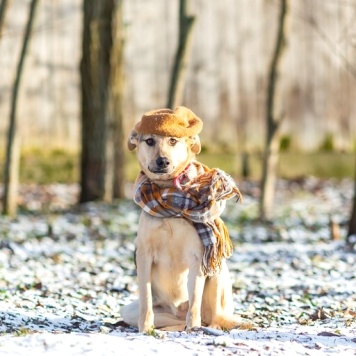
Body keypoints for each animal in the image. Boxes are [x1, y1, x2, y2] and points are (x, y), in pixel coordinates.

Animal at [120, 107, 248, 332]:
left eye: (173, 140)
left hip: (217, 273)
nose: (163, 161)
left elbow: (195, 298)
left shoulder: (198, 257)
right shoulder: (144, 255)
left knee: (214, 316)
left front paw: (193, 326)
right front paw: (145, 329)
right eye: (150, 141)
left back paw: (205, 327)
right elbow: (145, 299)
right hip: (130, 310)